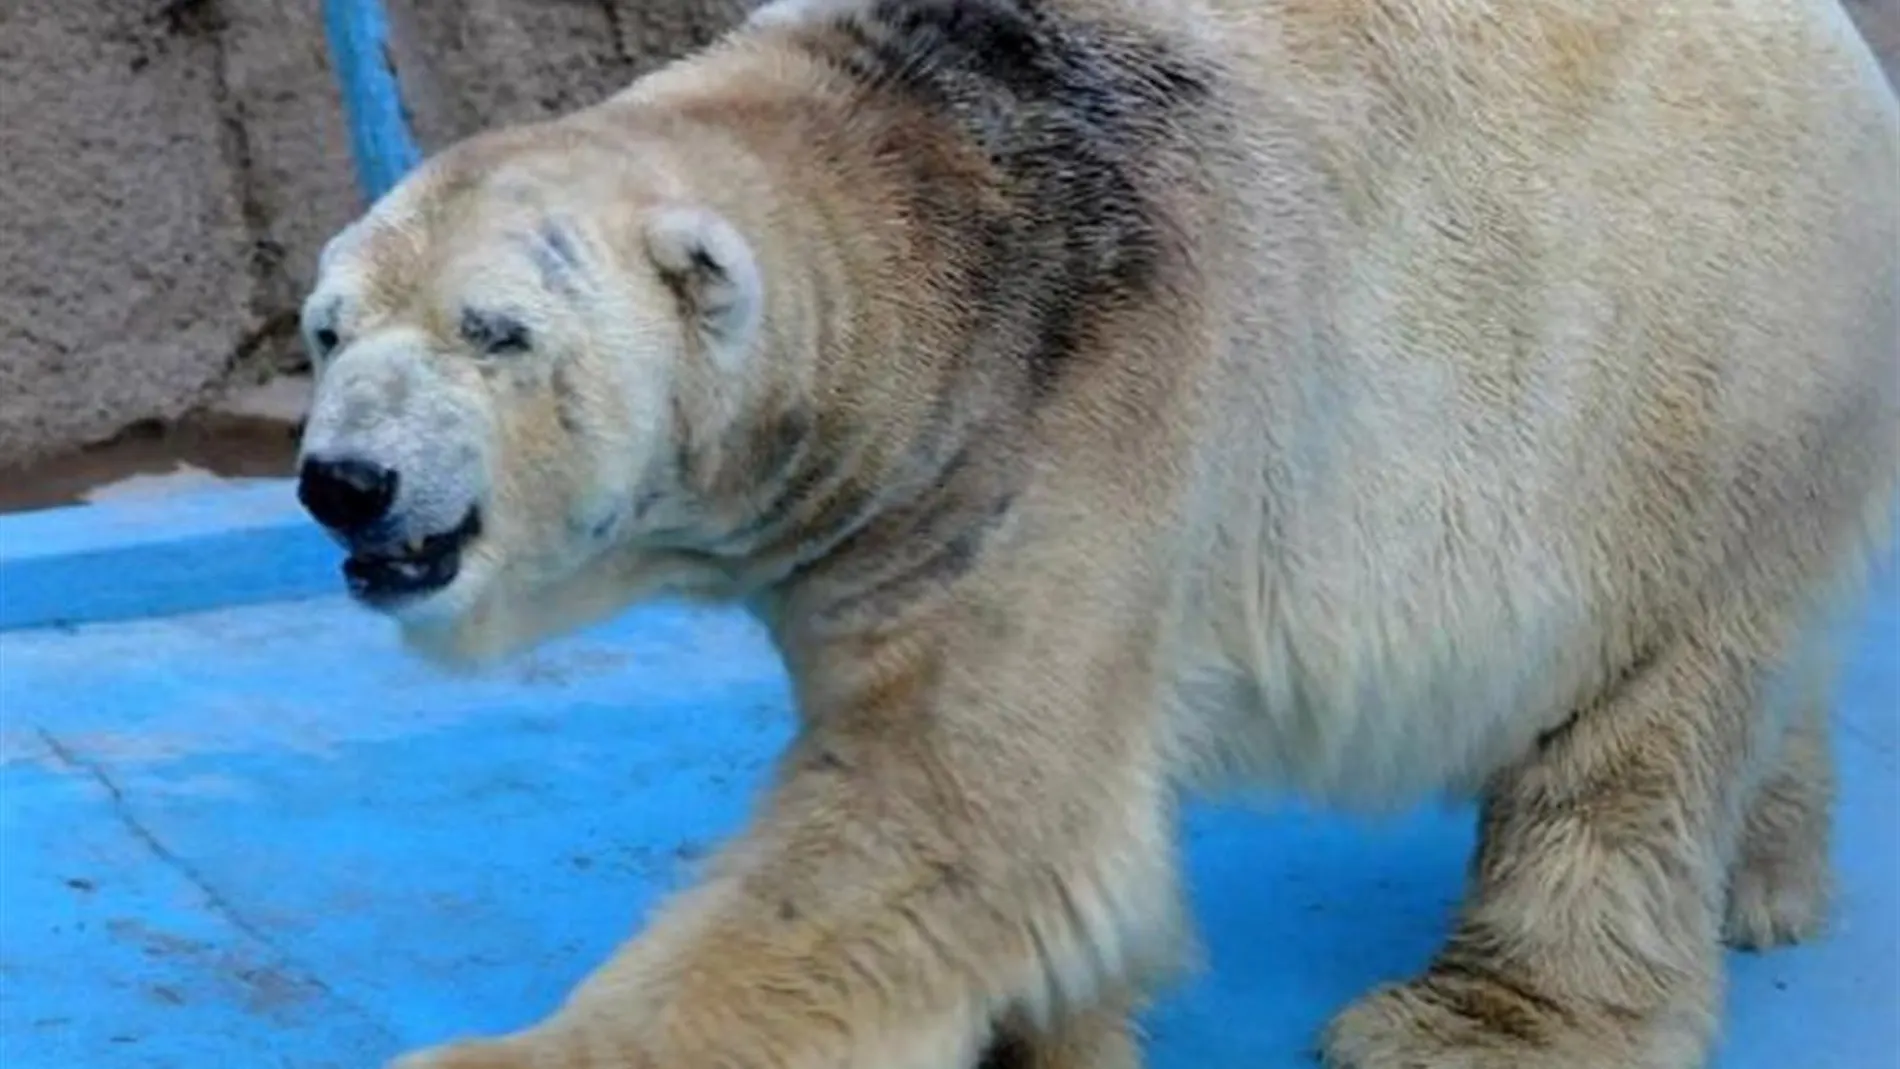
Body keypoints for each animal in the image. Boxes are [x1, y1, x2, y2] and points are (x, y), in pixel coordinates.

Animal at [289, 0, 1900, 1066]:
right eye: (327, 328)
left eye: (494, 330)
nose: (343, 482)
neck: (940, 201)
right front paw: (1062, 1036)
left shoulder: (1069, 425)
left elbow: (950, 819)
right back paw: (1767, 882)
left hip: (1695, 378)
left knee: (1637, 723)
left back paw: (1478, 1023)